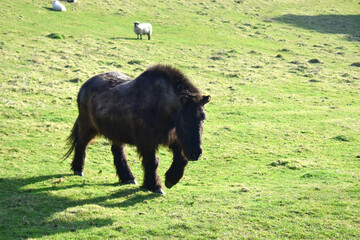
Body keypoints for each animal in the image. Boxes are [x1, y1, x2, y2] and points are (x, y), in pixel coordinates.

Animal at [64, 64, 211, 194]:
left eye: (203, 117)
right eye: (185, 119)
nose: (196, 153)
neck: (160, 106)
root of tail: (85, 86)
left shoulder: (172, 138)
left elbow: (181, 159)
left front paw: (170, 179)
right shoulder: (147, 142)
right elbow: (152, 162)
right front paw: (155, 186)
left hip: (116, 133)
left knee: (117, 151)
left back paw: (128, 177)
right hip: (88, 127)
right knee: (81, 144)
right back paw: (78, 169)